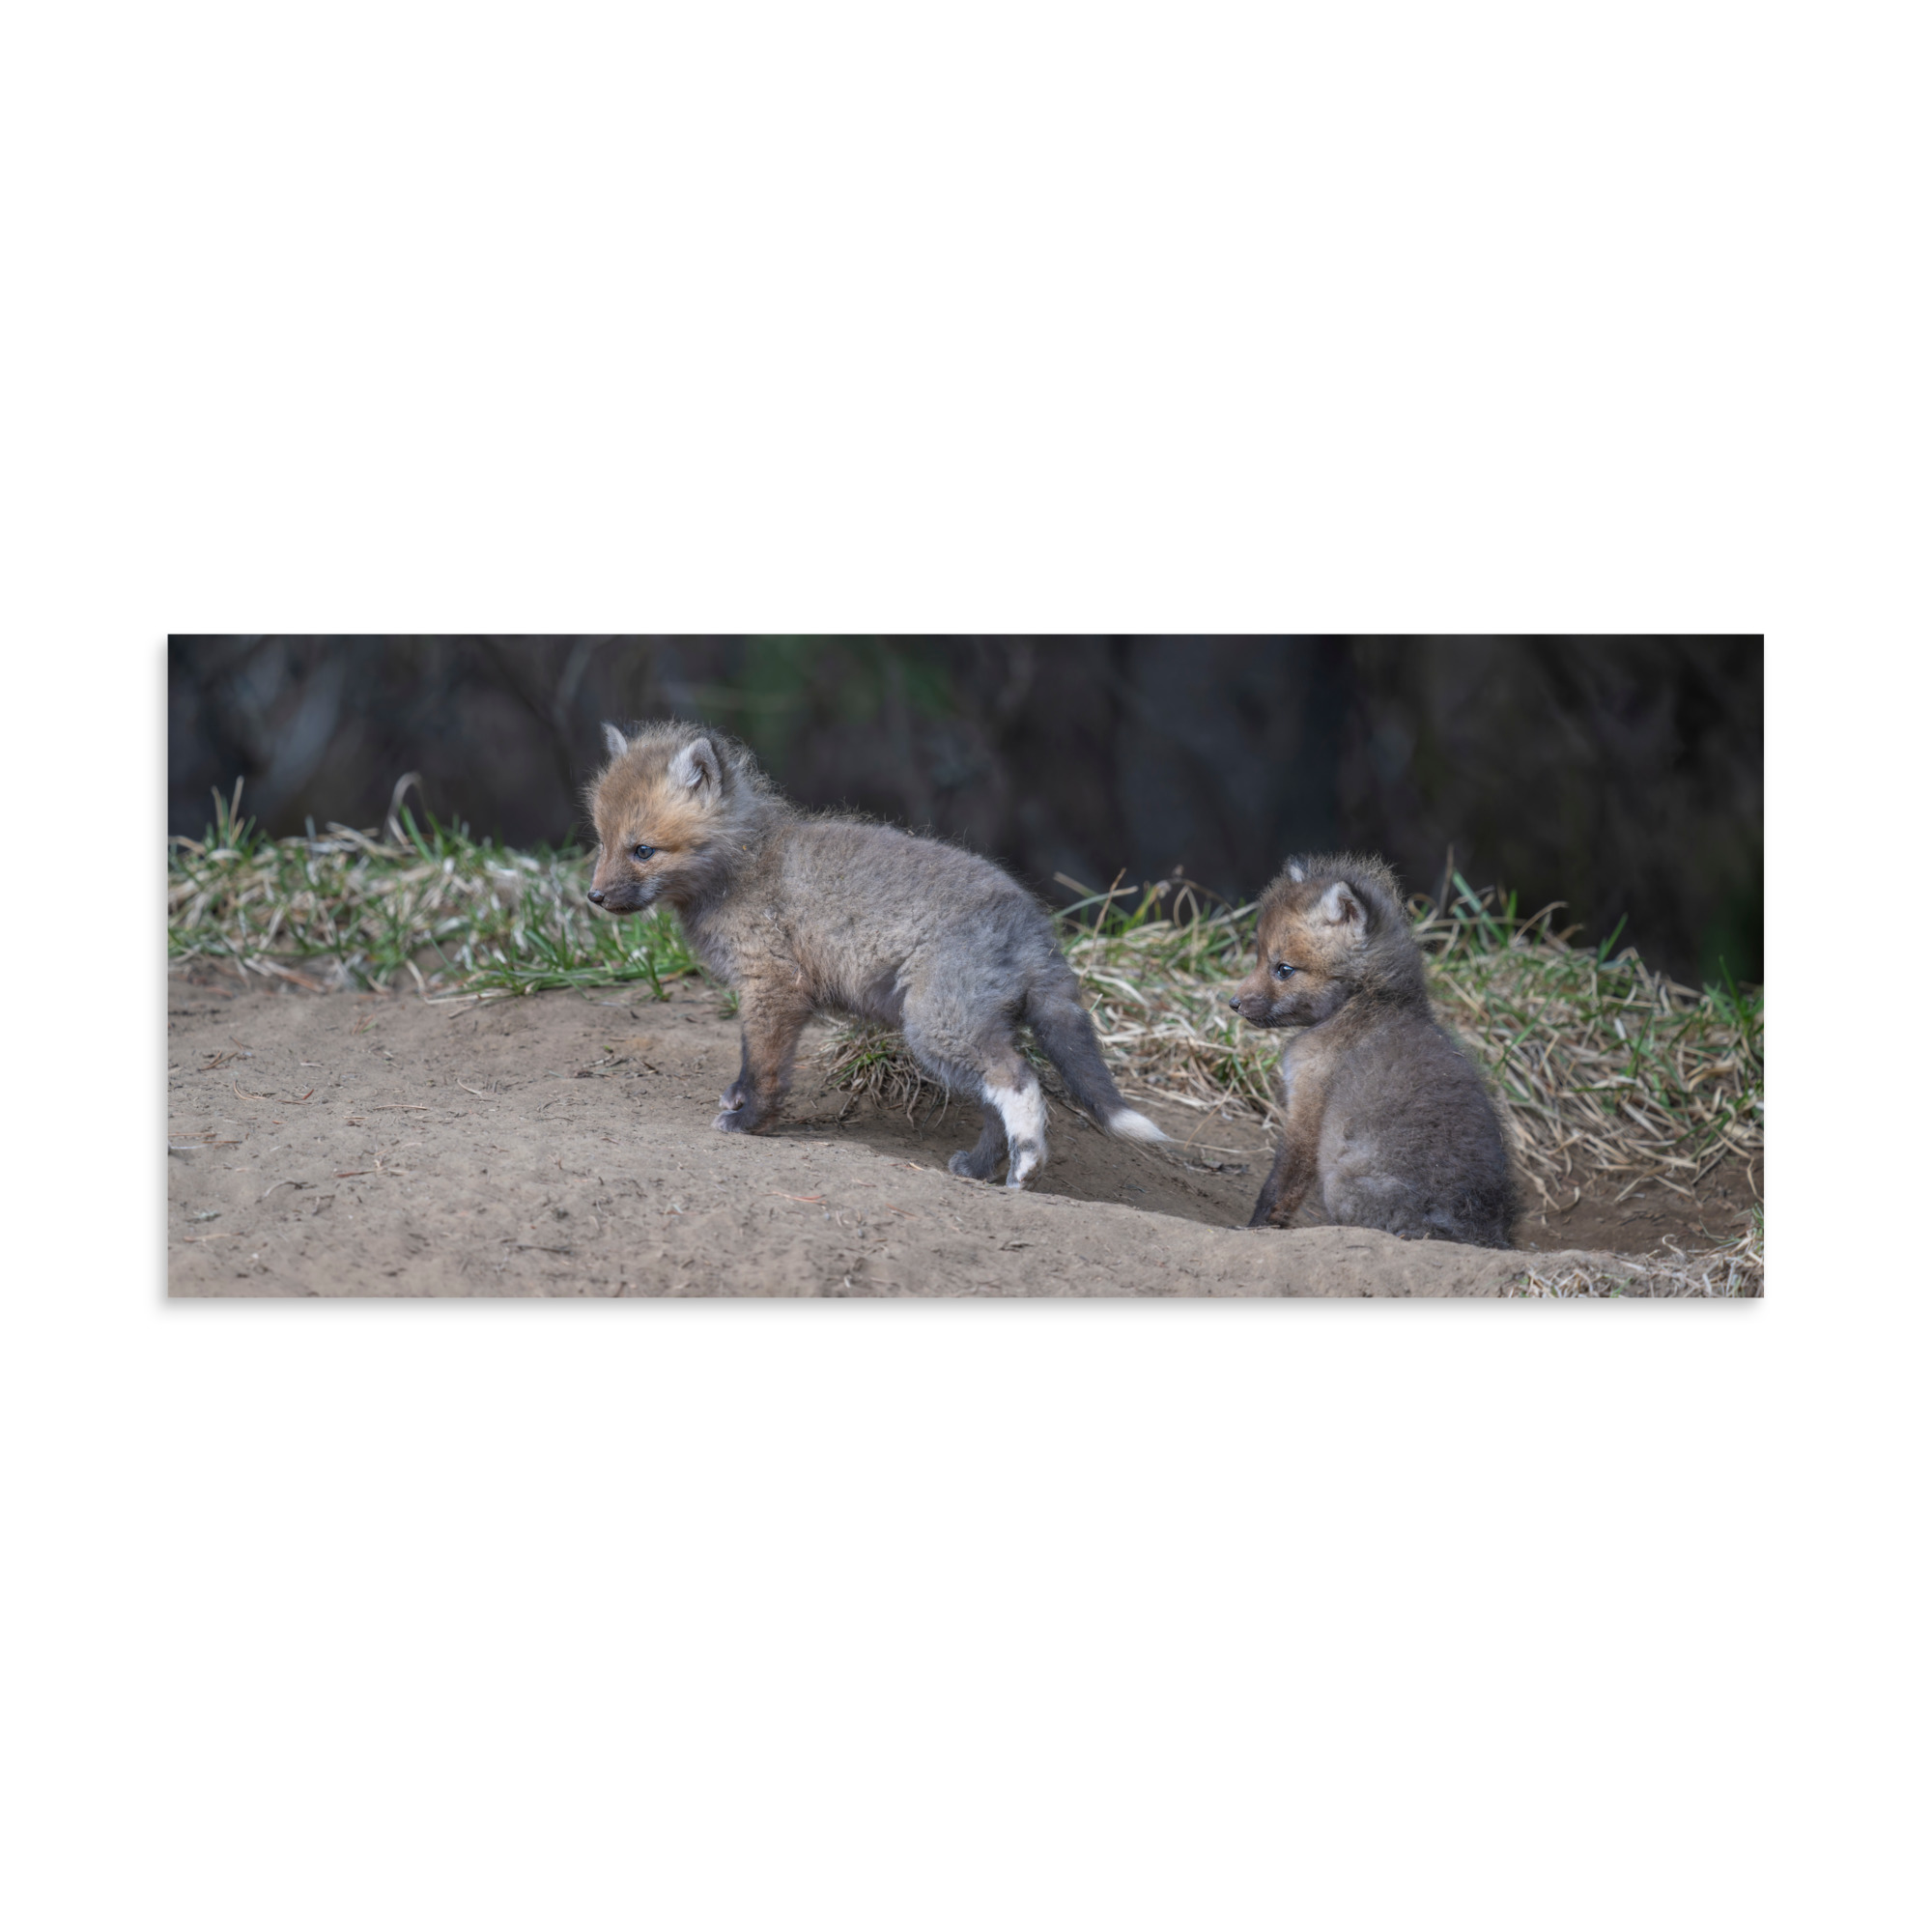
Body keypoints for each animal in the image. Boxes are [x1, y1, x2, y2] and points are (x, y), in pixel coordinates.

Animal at [585, 721, 1165, 1186]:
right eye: (602, 842)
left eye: (643, 850)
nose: (594, 897)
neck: (743, 866)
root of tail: (1034, 923)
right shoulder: (766, 993)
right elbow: (751, 1061)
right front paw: (740, 1100)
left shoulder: (774, 986)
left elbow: (765, 1066)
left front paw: (750, 1122)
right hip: (965, 1031)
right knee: (996, 1103)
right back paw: (980, 1169)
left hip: (936, 1028)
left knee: (1020, 1081)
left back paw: (1027, 1167)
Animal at [1228, 853, 1517, 1248]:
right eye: (1259, 958)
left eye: (1283, 969)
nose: (1233, 1003)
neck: (1365, 1003)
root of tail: (1478, 1232)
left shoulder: (1307, 1108)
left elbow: (1280, 1185)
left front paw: (1254, 1229)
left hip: (1340, 1185)